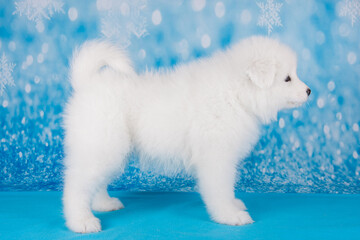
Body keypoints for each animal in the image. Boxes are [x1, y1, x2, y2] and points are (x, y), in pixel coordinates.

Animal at [62, 36, 310, 233]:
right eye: (287, 78)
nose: (309, 91)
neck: (235, 95)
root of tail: (87, 85)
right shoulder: (216, 157)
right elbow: (220, 189)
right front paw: (230, 215)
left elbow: (228, 188)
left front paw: (234, 204)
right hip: (103, 145)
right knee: (76, 185)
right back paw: (81, 221)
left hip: (107, 149)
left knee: (95, 182)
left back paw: (103, 203)